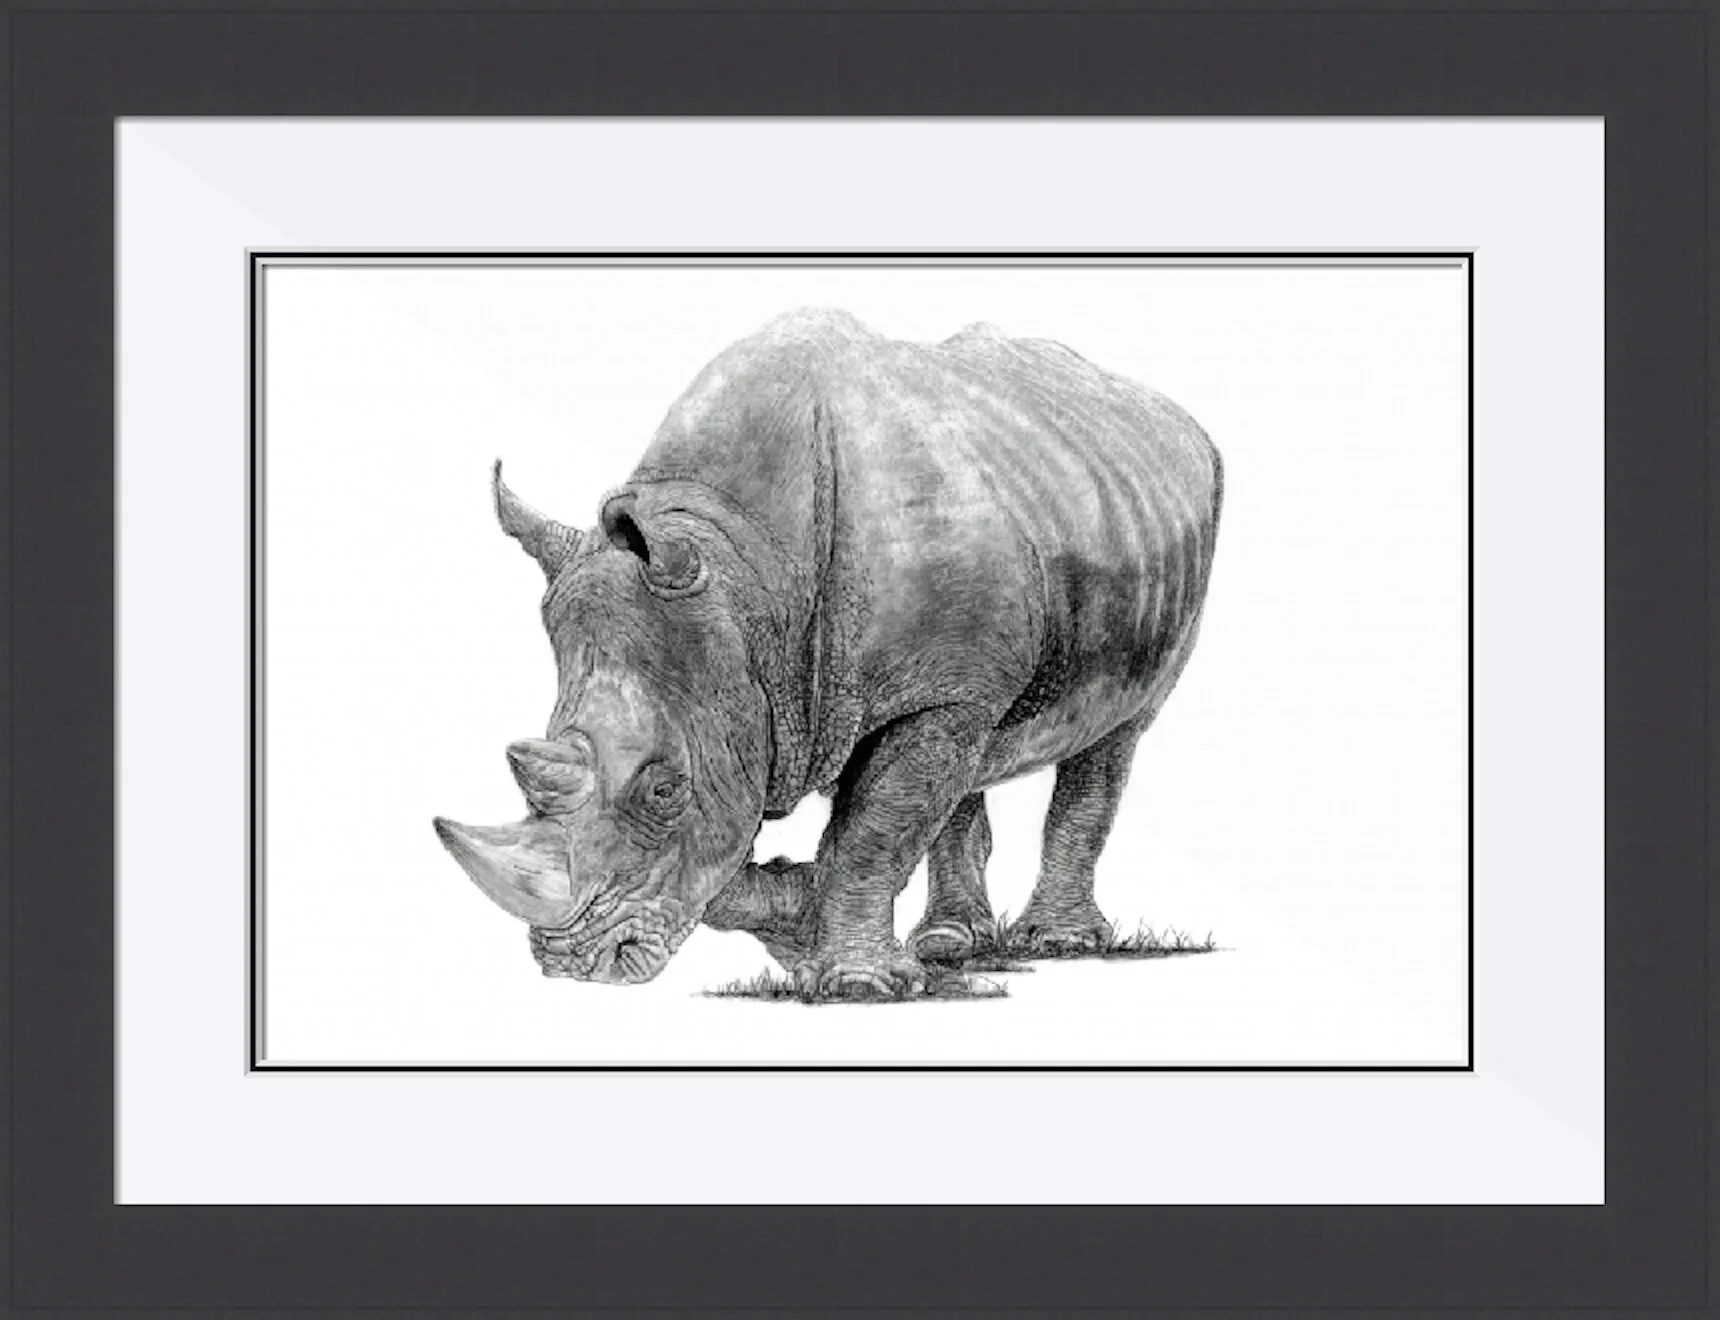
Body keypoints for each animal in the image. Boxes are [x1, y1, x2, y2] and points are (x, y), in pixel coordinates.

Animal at [434, 308, 1222, 999]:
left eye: (665, 791)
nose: (573, 965)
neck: (749, 585)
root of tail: (1176, 419)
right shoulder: (872, 686)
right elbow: (865, 823)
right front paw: (816, 937)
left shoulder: (925, 692)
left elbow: (872, 832)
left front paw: (856, 983)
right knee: (975, 753)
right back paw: (949, 945)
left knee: (1116, 733)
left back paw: (1058, 943)